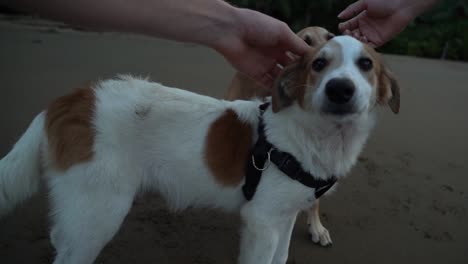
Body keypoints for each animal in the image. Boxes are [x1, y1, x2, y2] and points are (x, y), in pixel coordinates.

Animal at [1, 35, 400, 264]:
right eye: (318, 64)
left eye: (366, 64)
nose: (340, 89)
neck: (315, 135)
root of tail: (73, 98)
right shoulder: (261, 221)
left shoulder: (285, 215)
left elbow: (282, 256)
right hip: (101, 210)